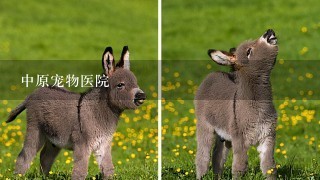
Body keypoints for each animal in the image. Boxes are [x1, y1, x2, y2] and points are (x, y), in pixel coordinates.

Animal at [6, 46, 146, 180]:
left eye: (136, 83)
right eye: (120, 85)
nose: (142, 96)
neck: (98, 111)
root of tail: (33, 93)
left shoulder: (104, 144)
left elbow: (108, 170)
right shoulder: (82, 145)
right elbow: (80, 172)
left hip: (54, 139)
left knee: (45, 157)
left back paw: (43, 177)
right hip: (35, 129)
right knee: (25, 156)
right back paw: (18, 176)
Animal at [194, 28, 278, 179]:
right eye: (249, 51)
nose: (269, 31)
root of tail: (213, 74)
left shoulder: (268, 137)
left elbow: (269, 167)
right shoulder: (240, 140)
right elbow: (239, 167)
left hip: (224, 135)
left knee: (218, 156)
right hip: (204, 125)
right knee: (203, 156)